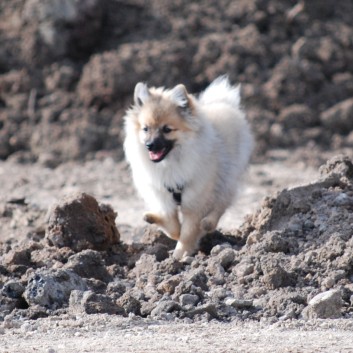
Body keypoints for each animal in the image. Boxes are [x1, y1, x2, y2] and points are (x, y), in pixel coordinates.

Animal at [124, 76, 253, 258]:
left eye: (167, 129)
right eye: (146, 129)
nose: (150, 145)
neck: (170, 163)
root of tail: (224, 103)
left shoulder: (195, 202)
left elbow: (186, 233)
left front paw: (180, 256)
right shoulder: (162, 196)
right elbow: (174, 227)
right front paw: (161, 224)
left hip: (227, 178)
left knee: (221, 204)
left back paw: (208, 223)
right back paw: (152, 217)